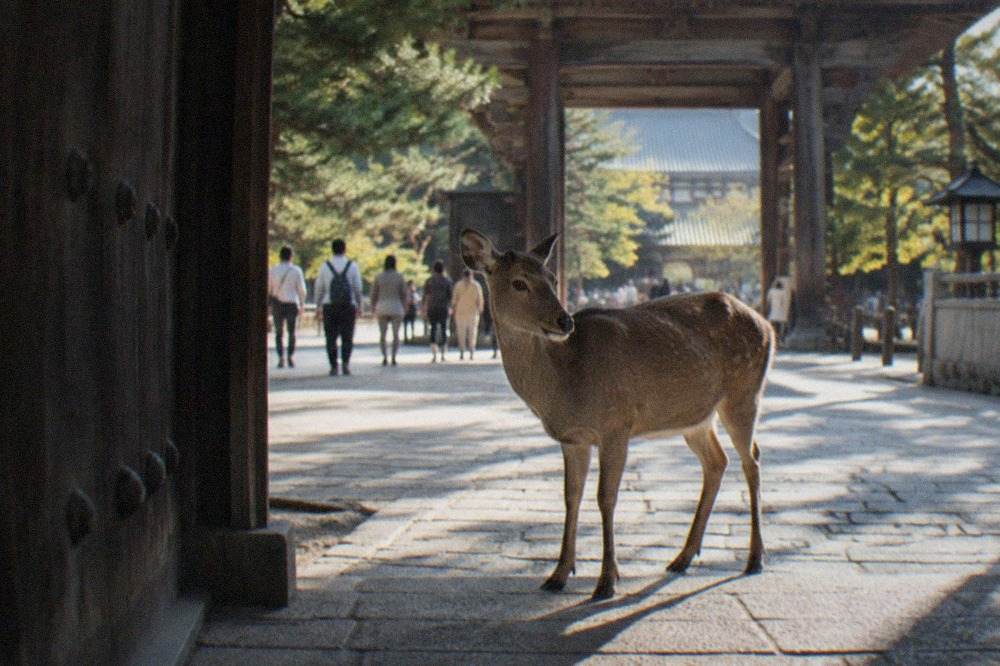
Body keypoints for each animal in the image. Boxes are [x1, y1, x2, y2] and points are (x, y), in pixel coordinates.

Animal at [460, 229, 775, 600]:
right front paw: (558, 575)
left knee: (752, 460)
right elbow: (571, 497)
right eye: (519, 282)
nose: (563, 320)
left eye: (552, 279)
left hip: (745, 395)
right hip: (696, 417)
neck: (566, 384)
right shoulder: (573, 439)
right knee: (717, 461)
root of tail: (768, 325)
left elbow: (605, 498)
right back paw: (682, 557)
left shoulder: (616, 425)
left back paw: (755, 559)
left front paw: (607, 581)